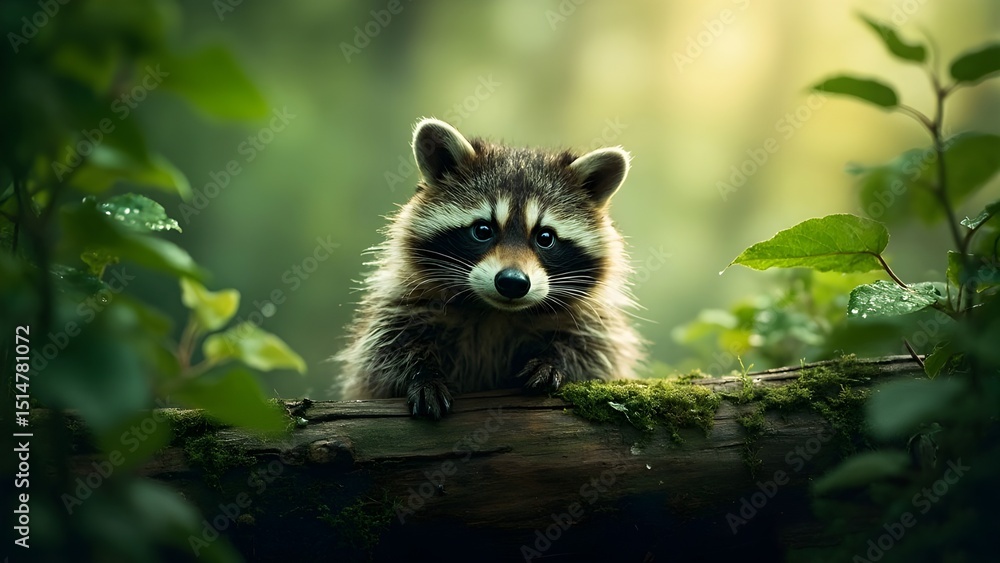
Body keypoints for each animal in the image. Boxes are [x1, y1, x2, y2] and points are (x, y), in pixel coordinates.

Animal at [336, 118, 644, 418]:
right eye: (483, 230)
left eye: (545, 237)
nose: (512, 282)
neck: (495, 312)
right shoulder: (402, 301)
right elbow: (384, 352)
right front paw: (423, 373)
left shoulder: (593, 321)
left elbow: (596, 354)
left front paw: (555, 361)